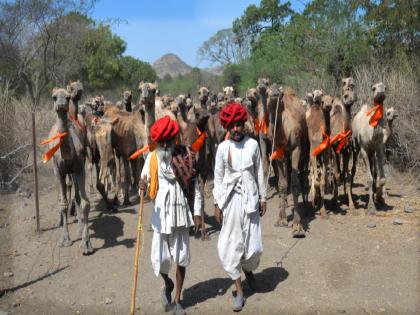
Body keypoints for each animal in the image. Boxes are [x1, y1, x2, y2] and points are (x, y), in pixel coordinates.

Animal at [45, 87, 92, 256]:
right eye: (54, 97)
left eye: (67, 97)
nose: (60, 104)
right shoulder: (58, 170)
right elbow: (63, 204)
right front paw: (65, 239)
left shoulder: (79, 168)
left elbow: (85, 202)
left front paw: (86, 243)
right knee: (65, 193)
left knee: (76, 195)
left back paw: (80, 226)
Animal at [268, 84, 310, 237]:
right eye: (266, 90)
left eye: (279, 94)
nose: (275, 91)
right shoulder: (277, 151)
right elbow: (282, 184)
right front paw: (281, 219)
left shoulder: (296, 148)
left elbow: (295, 184)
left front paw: (297, 226)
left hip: (305, 150)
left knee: (303, 176)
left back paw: (305, 208)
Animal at [350, 82, 388, 215]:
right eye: (373, 88)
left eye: (385, 87)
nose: (381, 92)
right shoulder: (364, 150)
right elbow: (369, 178)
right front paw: (371, 207)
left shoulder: (379, 148)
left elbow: (381, 178)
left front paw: (379, 197)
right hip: (355, 147)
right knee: (353, 169)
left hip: (372, 153)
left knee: (374, 171)